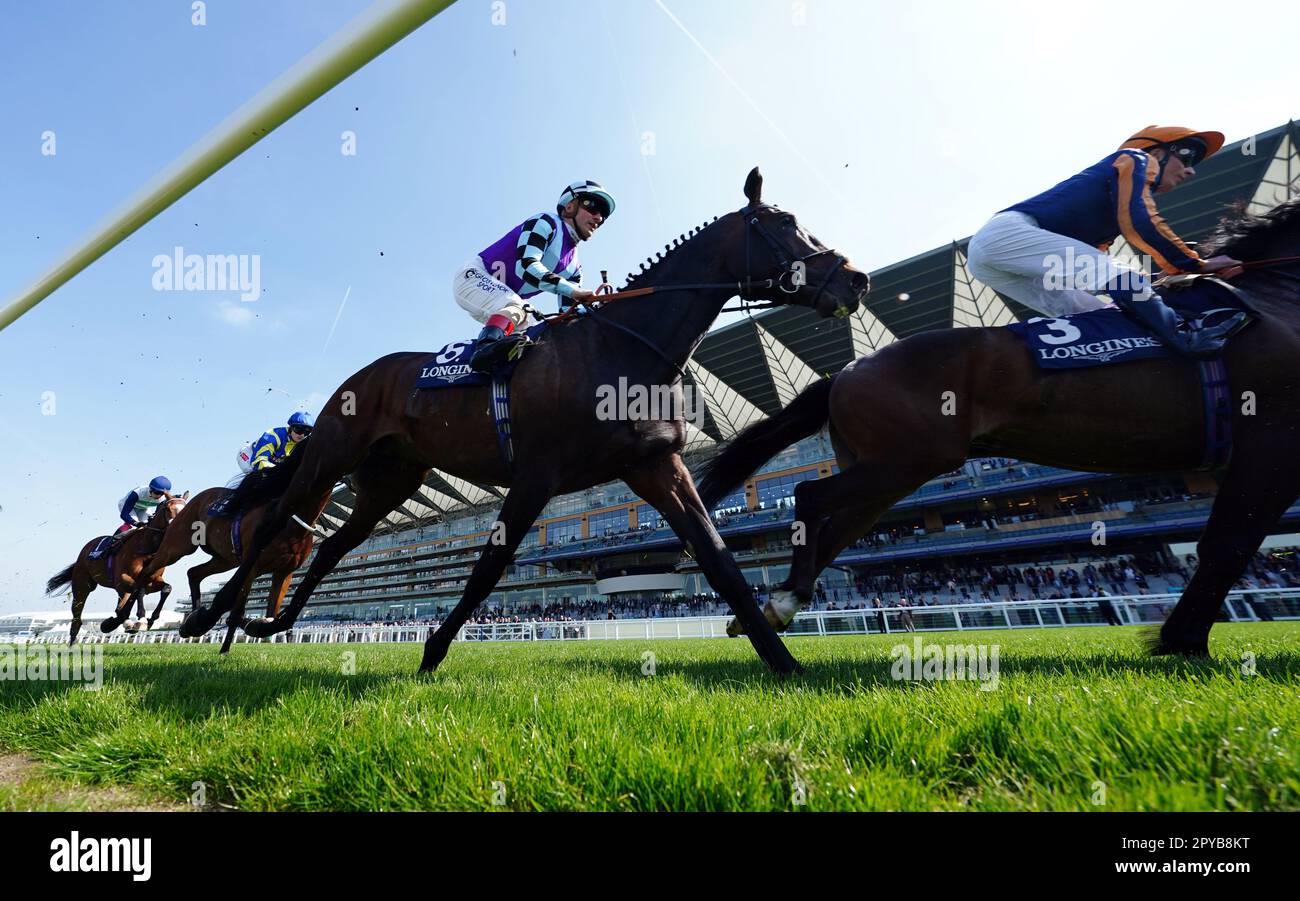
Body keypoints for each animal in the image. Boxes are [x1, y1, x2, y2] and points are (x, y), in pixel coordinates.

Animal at [45, 491, 189, 647]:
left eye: (185, 508)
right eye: (168, 508)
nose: (179, 528)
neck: (148, 548)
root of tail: (86, 549)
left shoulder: (152, 581)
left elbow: (166, 588)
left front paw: (148, 620)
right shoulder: (122, 579)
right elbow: (139, 590)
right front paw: (141, 619)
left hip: (117, 589)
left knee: (121, 606)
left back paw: (121, 622)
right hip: (82, 586)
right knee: (77, 615)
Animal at [104, 486, 312, 647]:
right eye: (167, 509)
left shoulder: (284, 570)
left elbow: (272, 605)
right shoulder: (254, 564)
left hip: (225, 560)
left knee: (193, 573)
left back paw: (190, 618)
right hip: (177, 549)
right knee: (147, 574)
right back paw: (127, 619)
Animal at [183, 170, 868, 676]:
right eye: (785, 224)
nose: (856, 278)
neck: (623, 348)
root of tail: (361, 375)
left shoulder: (654, 465)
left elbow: (720, 562)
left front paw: (783, 662)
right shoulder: (538, 474)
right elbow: (490, 564)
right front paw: (431, 654)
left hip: (391, 479)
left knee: (331, 545)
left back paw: (271, 621)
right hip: (332, 452)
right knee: (275, 522)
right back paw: (209, 616)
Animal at [702, 200, 1300, 657]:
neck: (1274, 300)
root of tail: (846, 370)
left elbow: (1230, 540)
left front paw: (1184, 638)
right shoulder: (1270, 440)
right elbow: (1226, 542)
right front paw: (1182, 640)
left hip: (894, 469)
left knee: (834, 524)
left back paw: (778, 603)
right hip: (904, 461)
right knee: (807, 494)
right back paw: (783, 598)